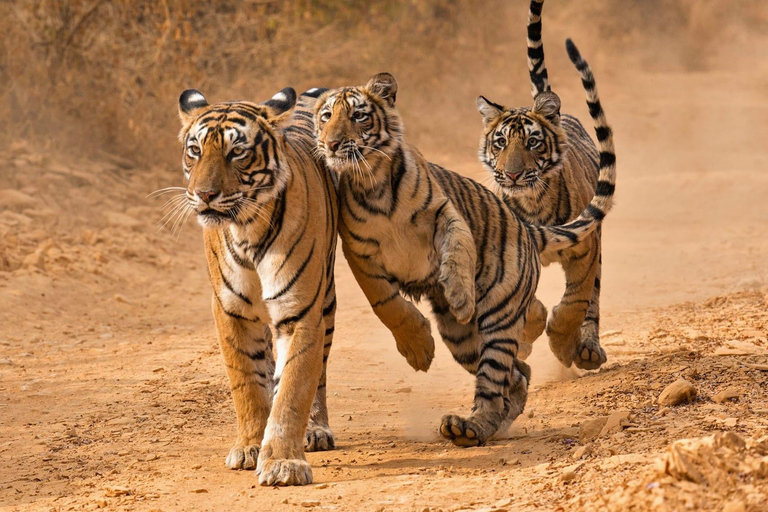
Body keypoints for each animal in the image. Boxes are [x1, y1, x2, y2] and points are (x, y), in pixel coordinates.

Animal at [176, 86, 344, 486]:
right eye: (195, 150)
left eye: (237, 152)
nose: (204, 194)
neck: (247, 230)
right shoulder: (231, 312)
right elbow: (248, 384)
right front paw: (251, 446)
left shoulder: (301, 312)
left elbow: (293, 389)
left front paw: (284, 462)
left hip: (326, 301)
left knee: (318, 374)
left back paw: (316, 429)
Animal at [316, 42, 616, 446]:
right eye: (326, 117)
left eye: (358, 116)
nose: (331, 143)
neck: (373, 181)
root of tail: (526, 229)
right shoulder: (358, 253)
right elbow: (386, 304)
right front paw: (418, 350)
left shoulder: (445, 212)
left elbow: (458, 247)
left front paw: (459, 295)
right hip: (462, 340)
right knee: (516, 375)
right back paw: (478, 425)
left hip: (499, 316)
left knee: (498, 376)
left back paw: (470, 426)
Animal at [476, 0, 616, 370]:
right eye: (500, 143)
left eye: (532, 143)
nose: (511, 175)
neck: (532, 202)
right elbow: (527, 305)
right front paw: (529, 334)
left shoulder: (586, 247)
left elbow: (575, 302)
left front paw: (562, 345)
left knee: (592, 300)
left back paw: (587, 349)